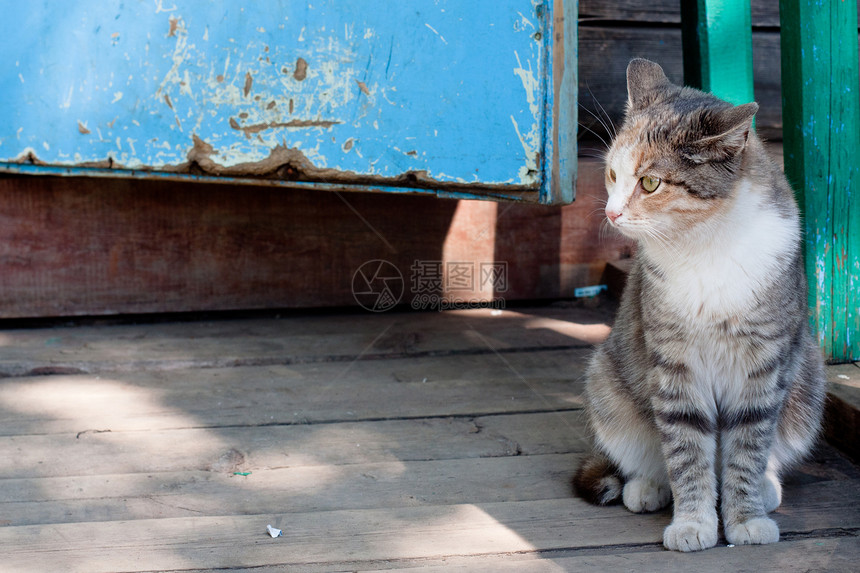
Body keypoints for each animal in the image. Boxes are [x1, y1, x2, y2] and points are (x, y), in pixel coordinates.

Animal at [576, 58, 828, 548]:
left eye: (650, 182)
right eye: (613, 175)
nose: (611, 213)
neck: (705, 242)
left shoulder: (762, 363)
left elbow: (748, 447)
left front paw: (745, 518)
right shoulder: (674, 361)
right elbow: (686, 448)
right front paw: (693, 523)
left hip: (807, 377)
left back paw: (766, 488)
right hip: (606, 382)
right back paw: (647, 486)